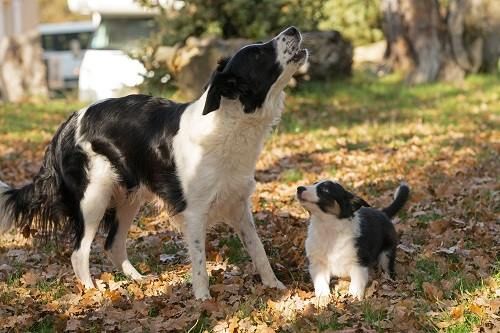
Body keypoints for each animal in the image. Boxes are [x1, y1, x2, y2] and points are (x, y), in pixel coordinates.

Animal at [0, 26, 308, 298]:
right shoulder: (194, 212)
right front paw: (203, 301)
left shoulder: (238, 204)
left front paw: (275, 286)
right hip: (93, 198)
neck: (228, 123)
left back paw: (138, 280)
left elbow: (259, 251)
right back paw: (92, 293)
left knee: (112, 245)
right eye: (258, 54)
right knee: (79, 252)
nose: (293, 29)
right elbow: (200, 265)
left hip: (128, 199)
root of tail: (68, 123)